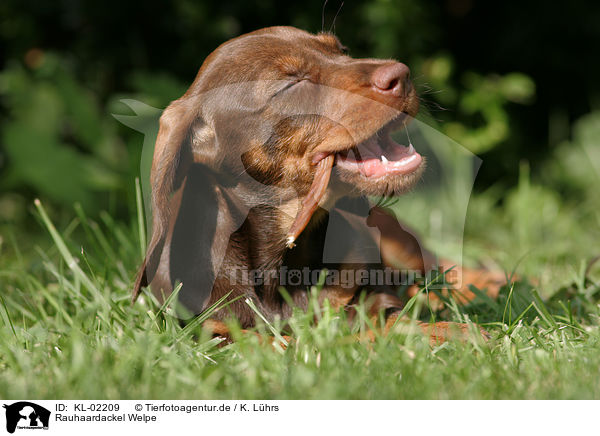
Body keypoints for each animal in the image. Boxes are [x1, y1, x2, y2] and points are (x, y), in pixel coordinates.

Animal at [134, 25, 504, 342]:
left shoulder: (376, 297)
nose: (402, 74)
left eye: (342, 50)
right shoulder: (212, 332)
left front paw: (446, 331)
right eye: (290, 84)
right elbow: (273, 341)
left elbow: (393, 321)